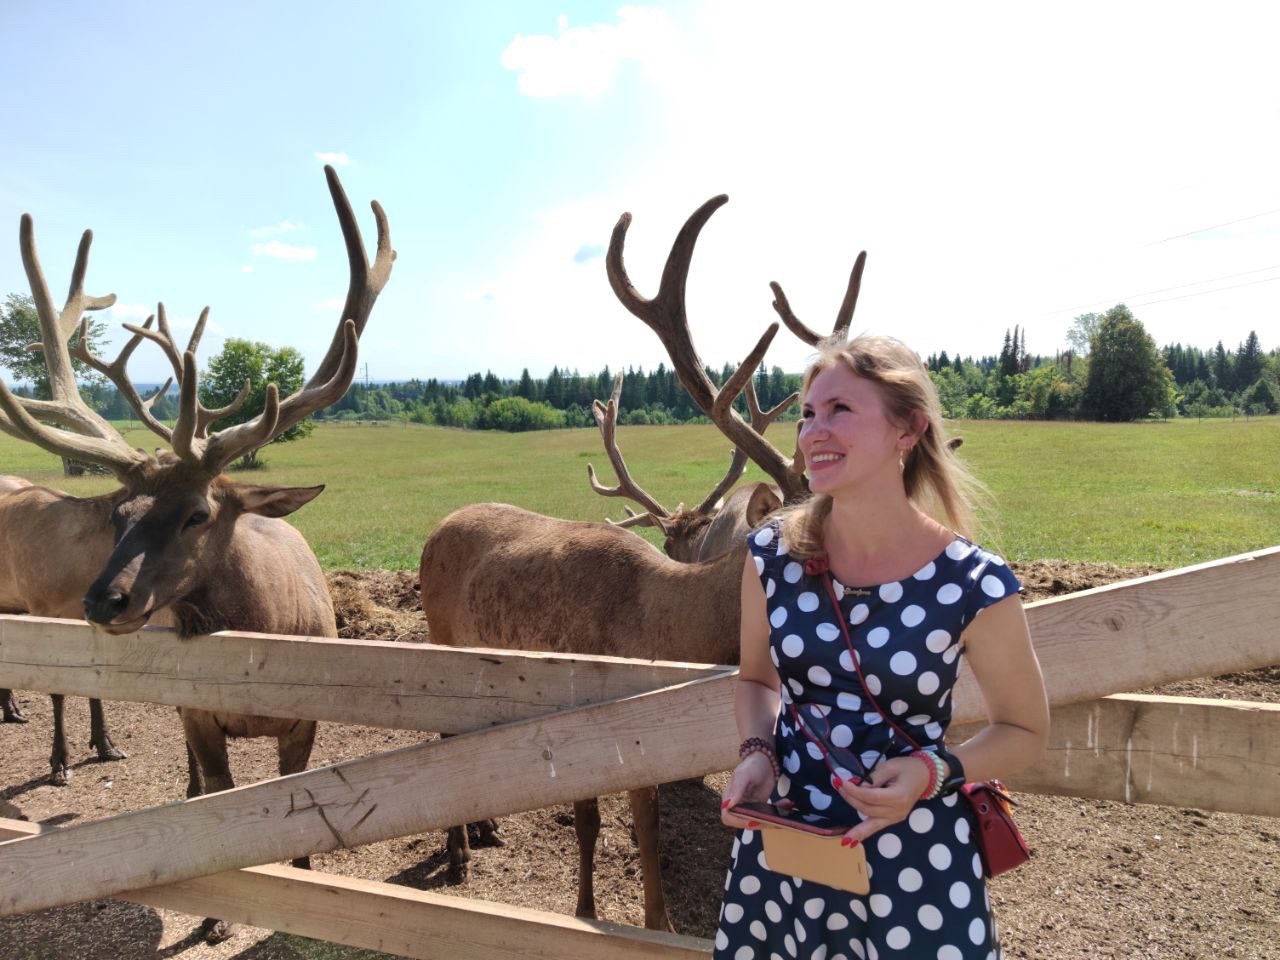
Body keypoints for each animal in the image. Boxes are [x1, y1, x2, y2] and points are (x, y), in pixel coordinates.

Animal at [0, 165, 391, 942]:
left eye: (199, 513)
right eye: (120, 512)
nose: (104, 598)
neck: (264, 639)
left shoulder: (307, 720)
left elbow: (292, 812)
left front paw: (301, 890)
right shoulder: (200, 715)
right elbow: (219, 798)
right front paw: (215, 916)